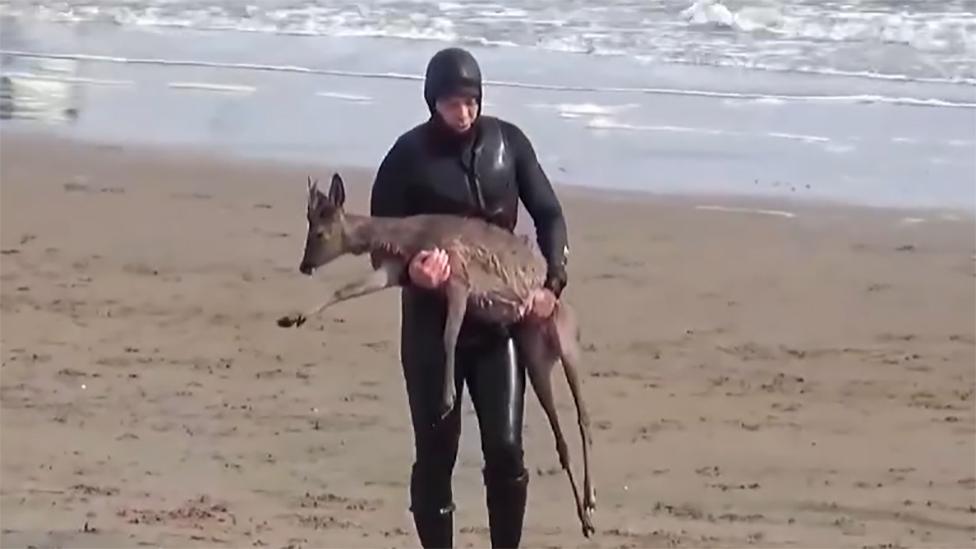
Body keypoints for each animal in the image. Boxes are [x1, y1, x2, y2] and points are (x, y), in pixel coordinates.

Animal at [272, 173, 596, 536]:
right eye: (308, 226)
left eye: (319, 232)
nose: (304, 265)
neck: (407, 239)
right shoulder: (397, 269)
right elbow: (346, 289)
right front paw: (292, 318)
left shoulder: (459, 274)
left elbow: (449, 335)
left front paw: (447, 399)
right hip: (535, 355)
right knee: (561, 437)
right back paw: (585, 518)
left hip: (567, 340)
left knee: (584, 418)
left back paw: (591, 502)